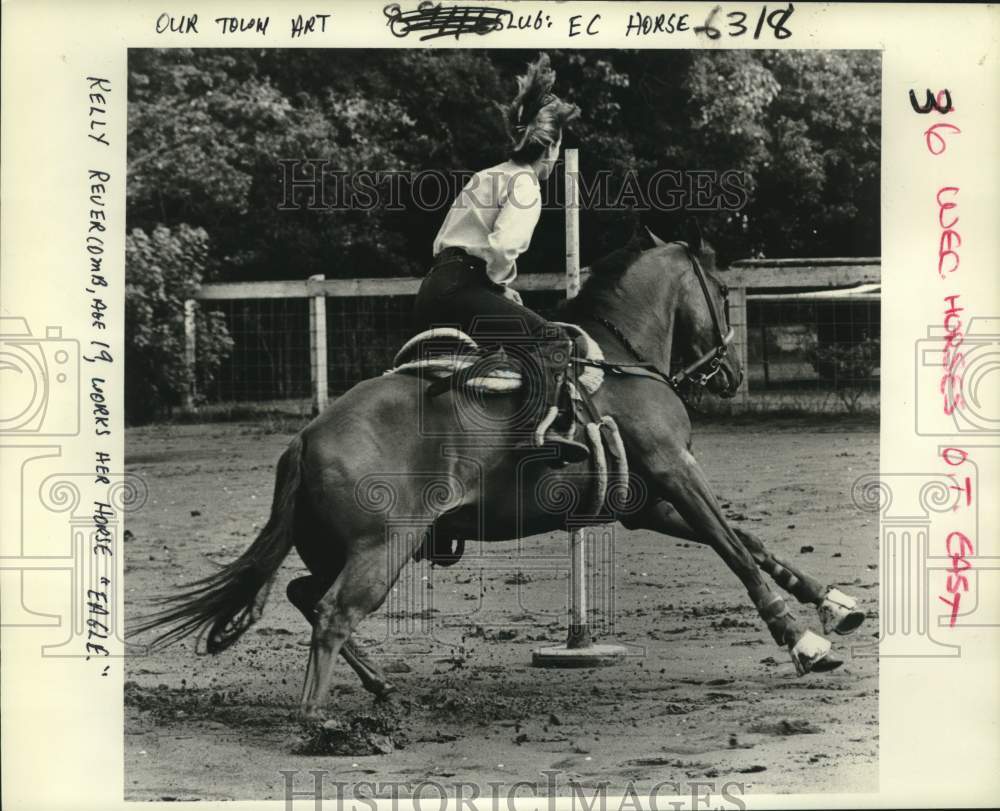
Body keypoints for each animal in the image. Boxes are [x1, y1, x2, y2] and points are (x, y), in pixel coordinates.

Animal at [131, 236, 868, 716]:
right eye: (719, 291)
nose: (730, 372)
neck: (620, 358)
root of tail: (305, 437)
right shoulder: (674, 469)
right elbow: (736, 549)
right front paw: (804, 641)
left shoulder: (647, 502)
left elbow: (752, 542)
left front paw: (836, 603)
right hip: (382, 548)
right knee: (333, 612)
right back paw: (320, 725)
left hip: (339, 548)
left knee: (304, 595)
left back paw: (380, 688)